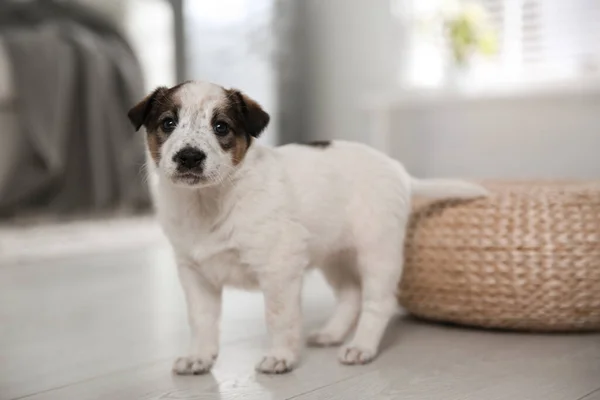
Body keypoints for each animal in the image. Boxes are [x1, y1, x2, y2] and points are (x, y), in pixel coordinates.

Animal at [127, 80, 488, 376]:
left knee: (378, 302)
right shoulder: (195, 273)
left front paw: (280, 357)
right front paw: (199, 357)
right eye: (168, 123)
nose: (189, 157)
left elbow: (279, 317)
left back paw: (361, 347)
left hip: (378, 252)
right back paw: (331, 333)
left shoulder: (279, 269)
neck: (208, 202)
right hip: (335, 255)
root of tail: (399, 170)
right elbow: (201, 321)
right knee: (350, 294)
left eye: (221, 127)